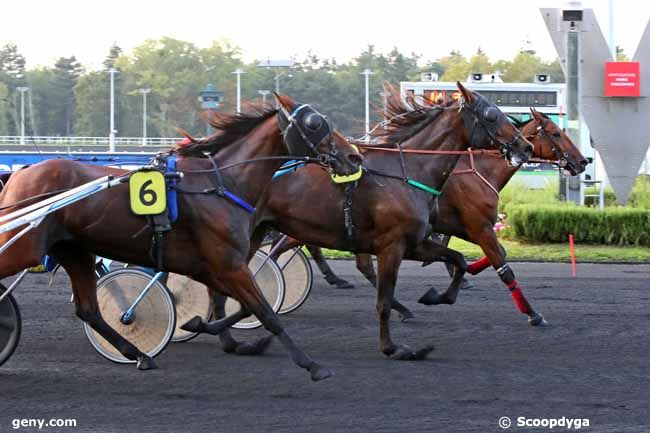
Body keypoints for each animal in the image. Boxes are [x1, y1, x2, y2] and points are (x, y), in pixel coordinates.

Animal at [0, 95, 360, 378]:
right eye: (315, 124)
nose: (353, 155)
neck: (221, 184)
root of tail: (20, 174)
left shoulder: (212, 266)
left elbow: (240, 307)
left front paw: (203, 326)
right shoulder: (229, 264)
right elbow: (265, 311)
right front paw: (312, 365)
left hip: (74, 251)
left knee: (89, 309)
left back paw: (139, 355)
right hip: (25, 246)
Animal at [200, 82, 536, 358]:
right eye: (491, 115)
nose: (525, 146)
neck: (409, 171)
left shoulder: (415, 243)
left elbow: (459, 260)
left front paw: (436, 296)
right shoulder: (392, 245)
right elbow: (384, 300)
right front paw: (392, 347)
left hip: (255, 231)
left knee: (221, 286)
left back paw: (223, 335)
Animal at [284, 107, 588, 324]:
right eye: (556, 134)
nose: (583, 161)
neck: (480, 171)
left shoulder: (464, 226)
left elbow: (481, 254)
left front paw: (461, 273)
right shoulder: (478, 225)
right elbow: (501, 263)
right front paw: (533, 314)